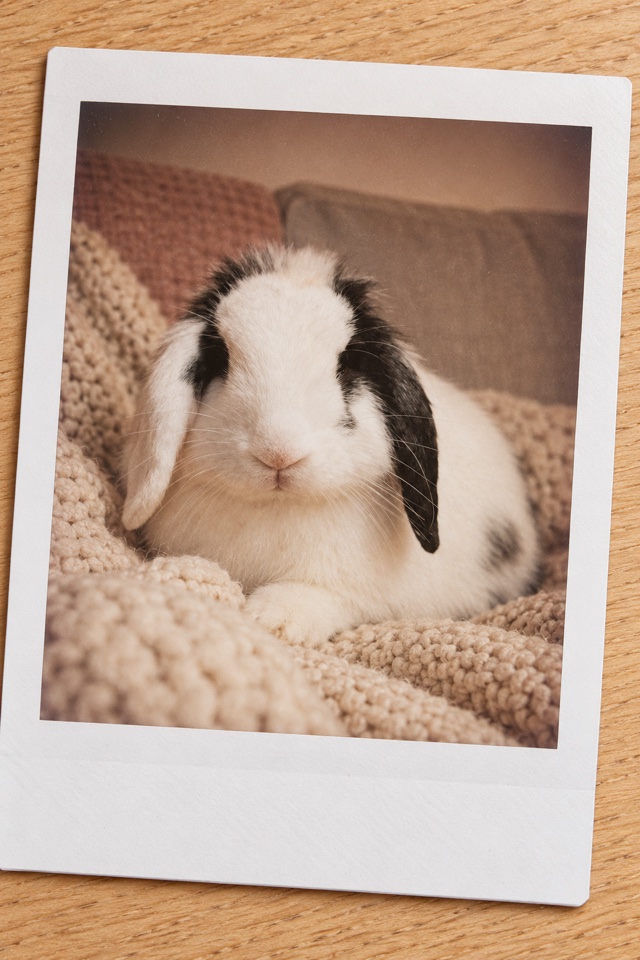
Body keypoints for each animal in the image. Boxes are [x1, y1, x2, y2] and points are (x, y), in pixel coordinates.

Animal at [122, 245, 541, 648]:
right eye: (220, 359)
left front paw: (273, 621)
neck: (279, 508)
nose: (278, 452)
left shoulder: (353, 597)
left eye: (347, 366)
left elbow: (319, 597)